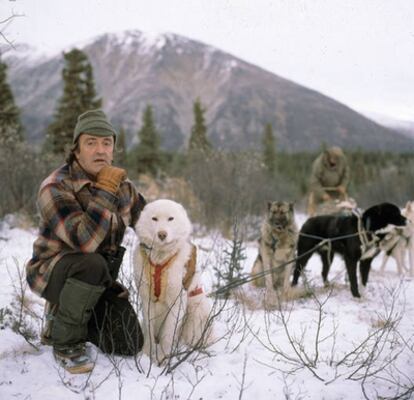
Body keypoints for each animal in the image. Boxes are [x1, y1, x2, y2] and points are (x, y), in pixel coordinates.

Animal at [134, 198, 215, 364]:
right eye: (154, 219)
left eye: (170, 219)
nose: (162, 234)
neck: (160, 260)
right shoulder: (146, 302)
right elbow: (149, 333)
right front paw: (146, 356)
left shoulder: (176, 303)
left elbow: (168, 335)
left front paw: (163, 360)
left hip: (196, 310)